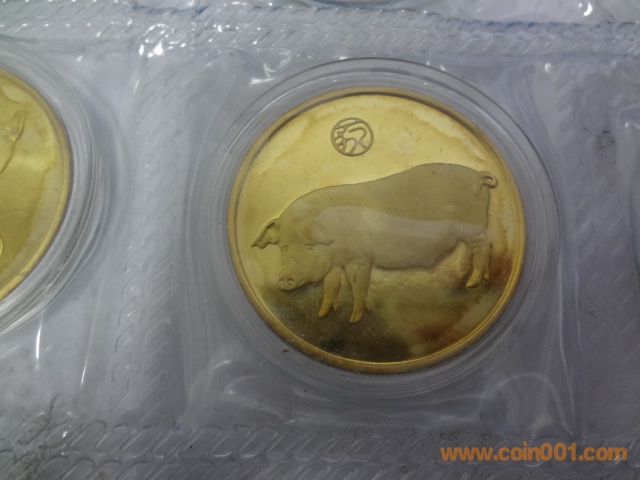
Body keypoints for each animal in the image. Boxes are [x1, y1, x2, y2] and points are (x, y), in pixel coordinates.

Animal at [252, 163, 498, 323]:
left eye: (310, 245)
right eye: (284, 246)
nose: (284, 279)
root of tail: (478, 175)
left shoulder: (359, 258)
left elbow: (357, 285)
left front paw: (354, 319)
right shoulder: (335, 263)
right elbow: (332, 285)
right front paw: (324, 313)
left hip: (473, 226)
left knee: (484, 246)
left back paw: (473, 283)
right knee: (470, 248)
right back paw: (466, 271)